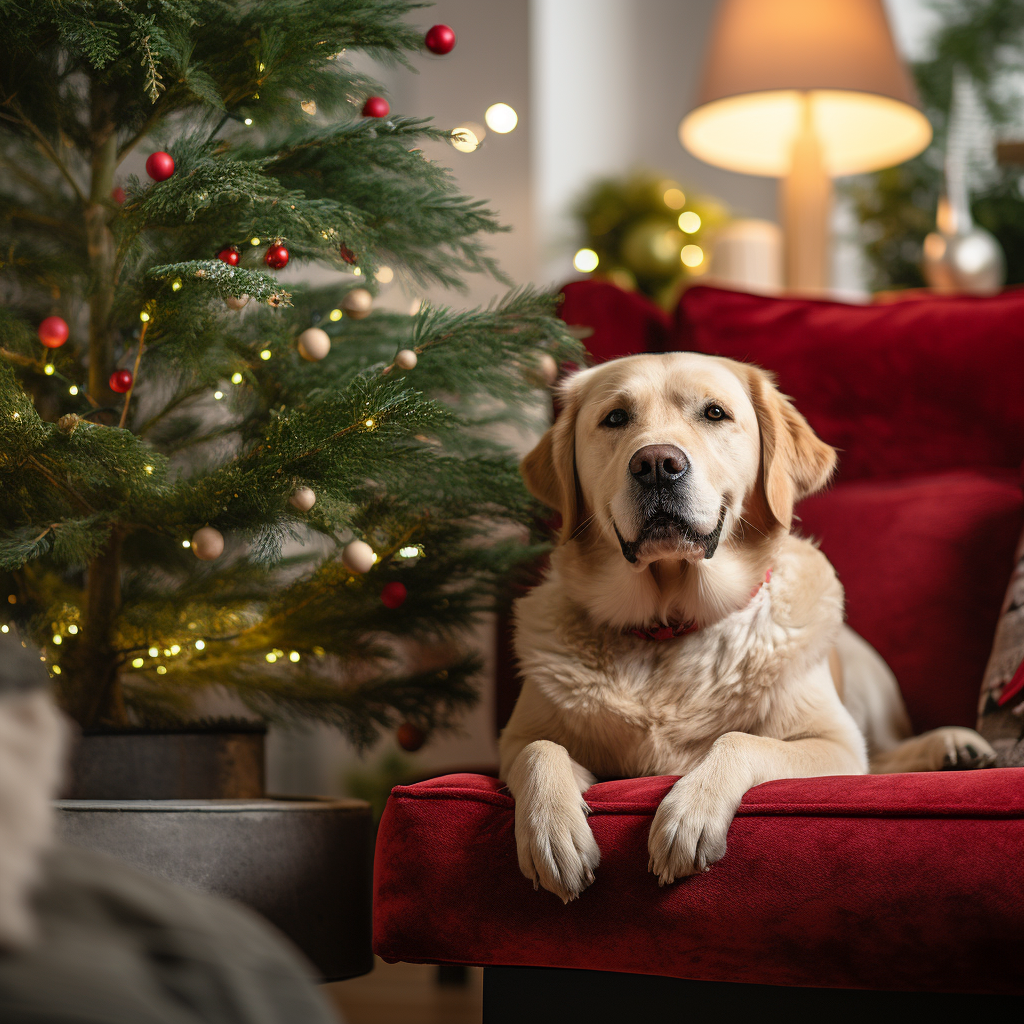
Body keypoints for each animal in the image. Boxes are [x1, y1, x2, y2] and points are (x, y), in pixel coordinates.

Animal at [499, 354, 995, 905]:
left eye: (715, 413)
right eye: (615, 418)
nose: (656, 464)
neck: (670, 627)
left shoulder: (834, 742)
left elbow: (742, 740)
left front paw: (690, 814)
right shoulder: (513, 742)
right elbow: (540, 750)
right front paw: (552, 832)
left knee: (887, 752)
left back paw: (955, 745)